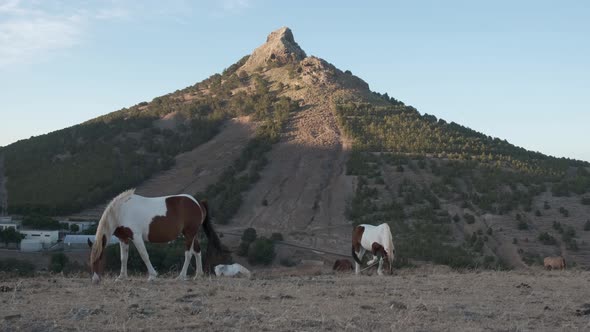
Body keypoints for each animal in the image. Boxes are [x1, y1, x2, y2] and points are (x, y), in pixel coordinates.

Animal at [88, 189, 224, 282]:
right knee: (197, 251)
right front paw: (121, 277)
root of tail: (197, 203)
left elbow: (144, 255)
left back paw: (181, 276)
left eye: (99, 259)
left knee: (188, 253)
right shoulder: (123, 238)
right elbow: (123, 257)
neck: (121, 211)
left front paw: (152, 276)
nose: (95, 280)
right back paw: (198, 275)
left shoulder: (136, 237)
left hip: (189, 234)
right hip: (192, 234)